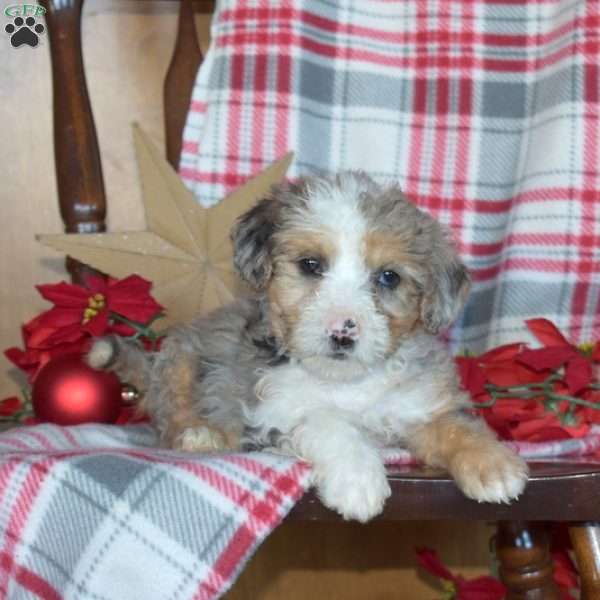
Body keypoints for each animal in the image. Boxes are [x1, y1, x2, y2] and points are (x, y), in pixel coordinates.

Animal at [86, 172, 528, 520]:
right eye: (311, 265)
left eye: (388, 277)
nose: (343, 332)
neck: (348, 382)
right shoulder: (274, 412)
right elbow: (327, 420)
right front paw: (358, 478)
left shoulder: (417, 404)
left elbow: (457, 426)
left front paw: (492, 465)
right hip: (180, 357)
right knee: (170, 412)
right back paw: (198, 434)